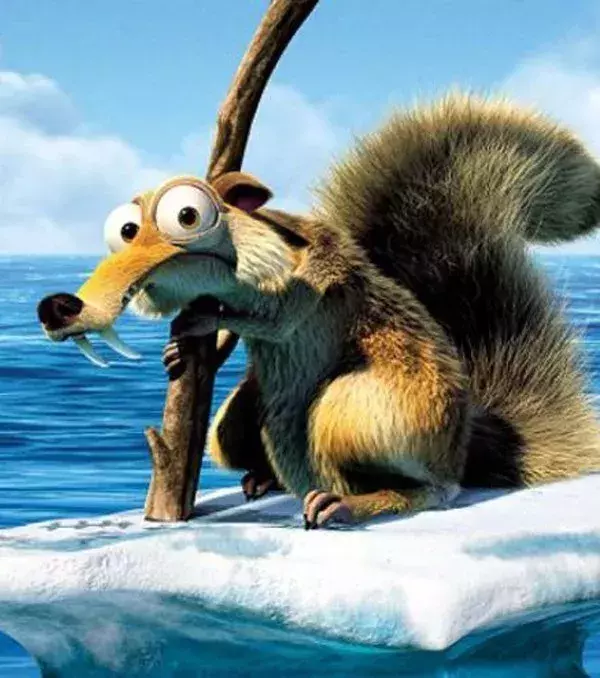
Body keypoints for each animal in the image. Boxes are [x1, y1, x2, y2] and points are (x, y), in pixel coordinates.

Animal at [37, 92, 600, 528]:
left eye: (187, 215)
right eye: (124, 230)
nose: (57, 307)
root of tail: (464, 450)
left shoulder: (309, 286)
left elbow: (270, 319)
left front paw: (205, 321)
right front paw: (178, 352)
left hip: (364, 413)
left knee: (432, 490)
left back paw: (351, 503)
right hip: (238, 421)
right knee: (233, 433)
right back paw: (262, 478)